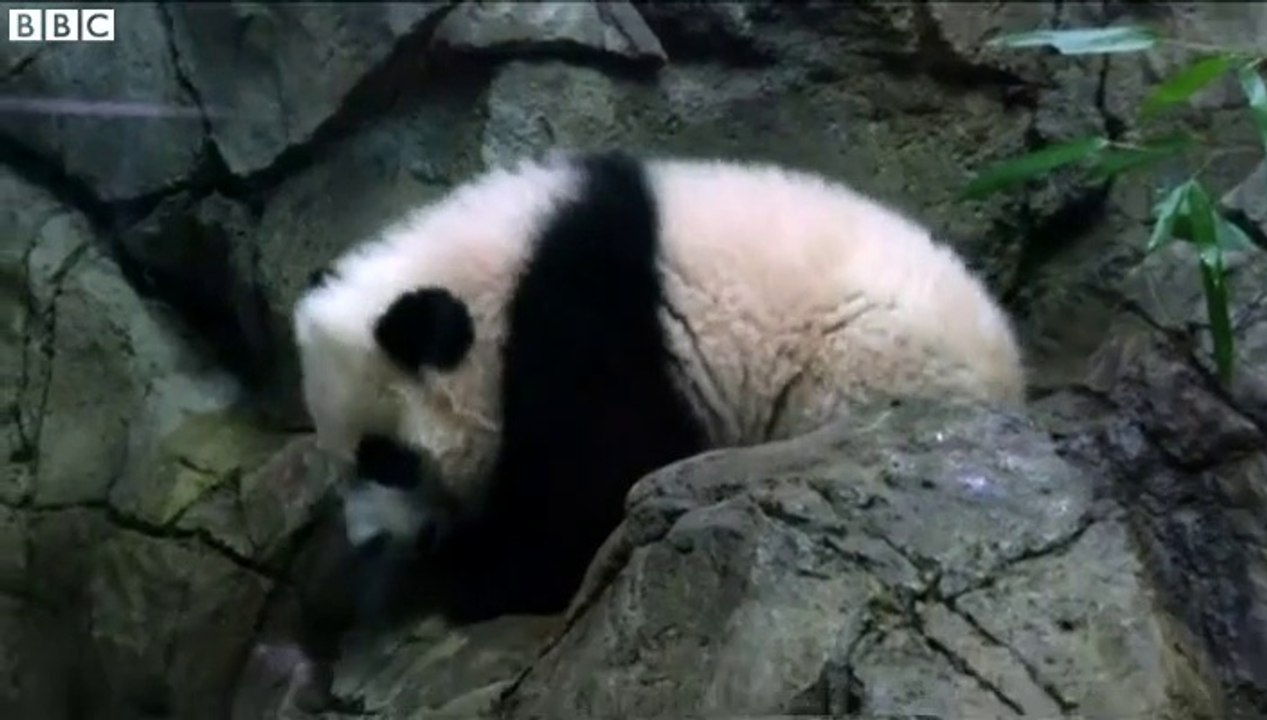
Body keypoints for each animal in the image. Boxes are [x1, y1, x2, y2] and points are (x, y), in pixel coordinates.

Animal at [292, 150, 1026, 628]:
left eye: (387, 458)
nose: (370, 541)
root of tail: (1009, 372)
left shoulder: (585, 318)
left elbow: (589, 481)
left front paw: (484, 580)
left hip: (860, 366)